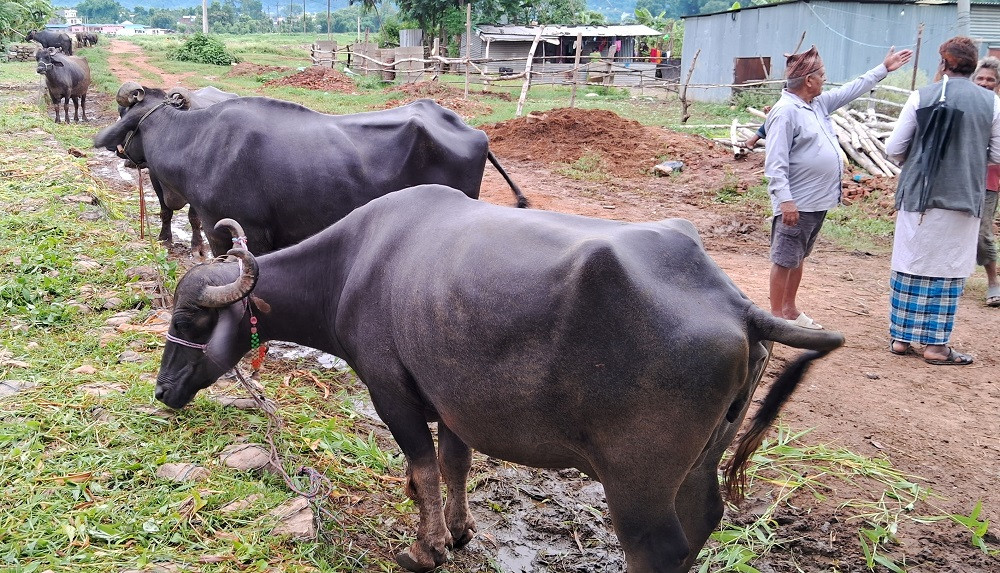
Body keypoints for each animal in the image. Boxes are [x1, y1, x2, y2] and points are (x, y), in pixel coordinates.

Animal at [156, 185, 844, 568]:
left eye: (191, 315)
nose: (163, 389)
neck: (353, 268)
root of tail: (737, 305)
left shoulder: (392, 395)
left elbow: (423, 471)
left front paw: (425, 548)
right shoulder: (452, 404)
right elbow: (454, 465)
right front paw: (459, 533)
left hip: (637, 481)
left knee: (658, 549)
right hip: (701, 461)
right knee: (704, 522)